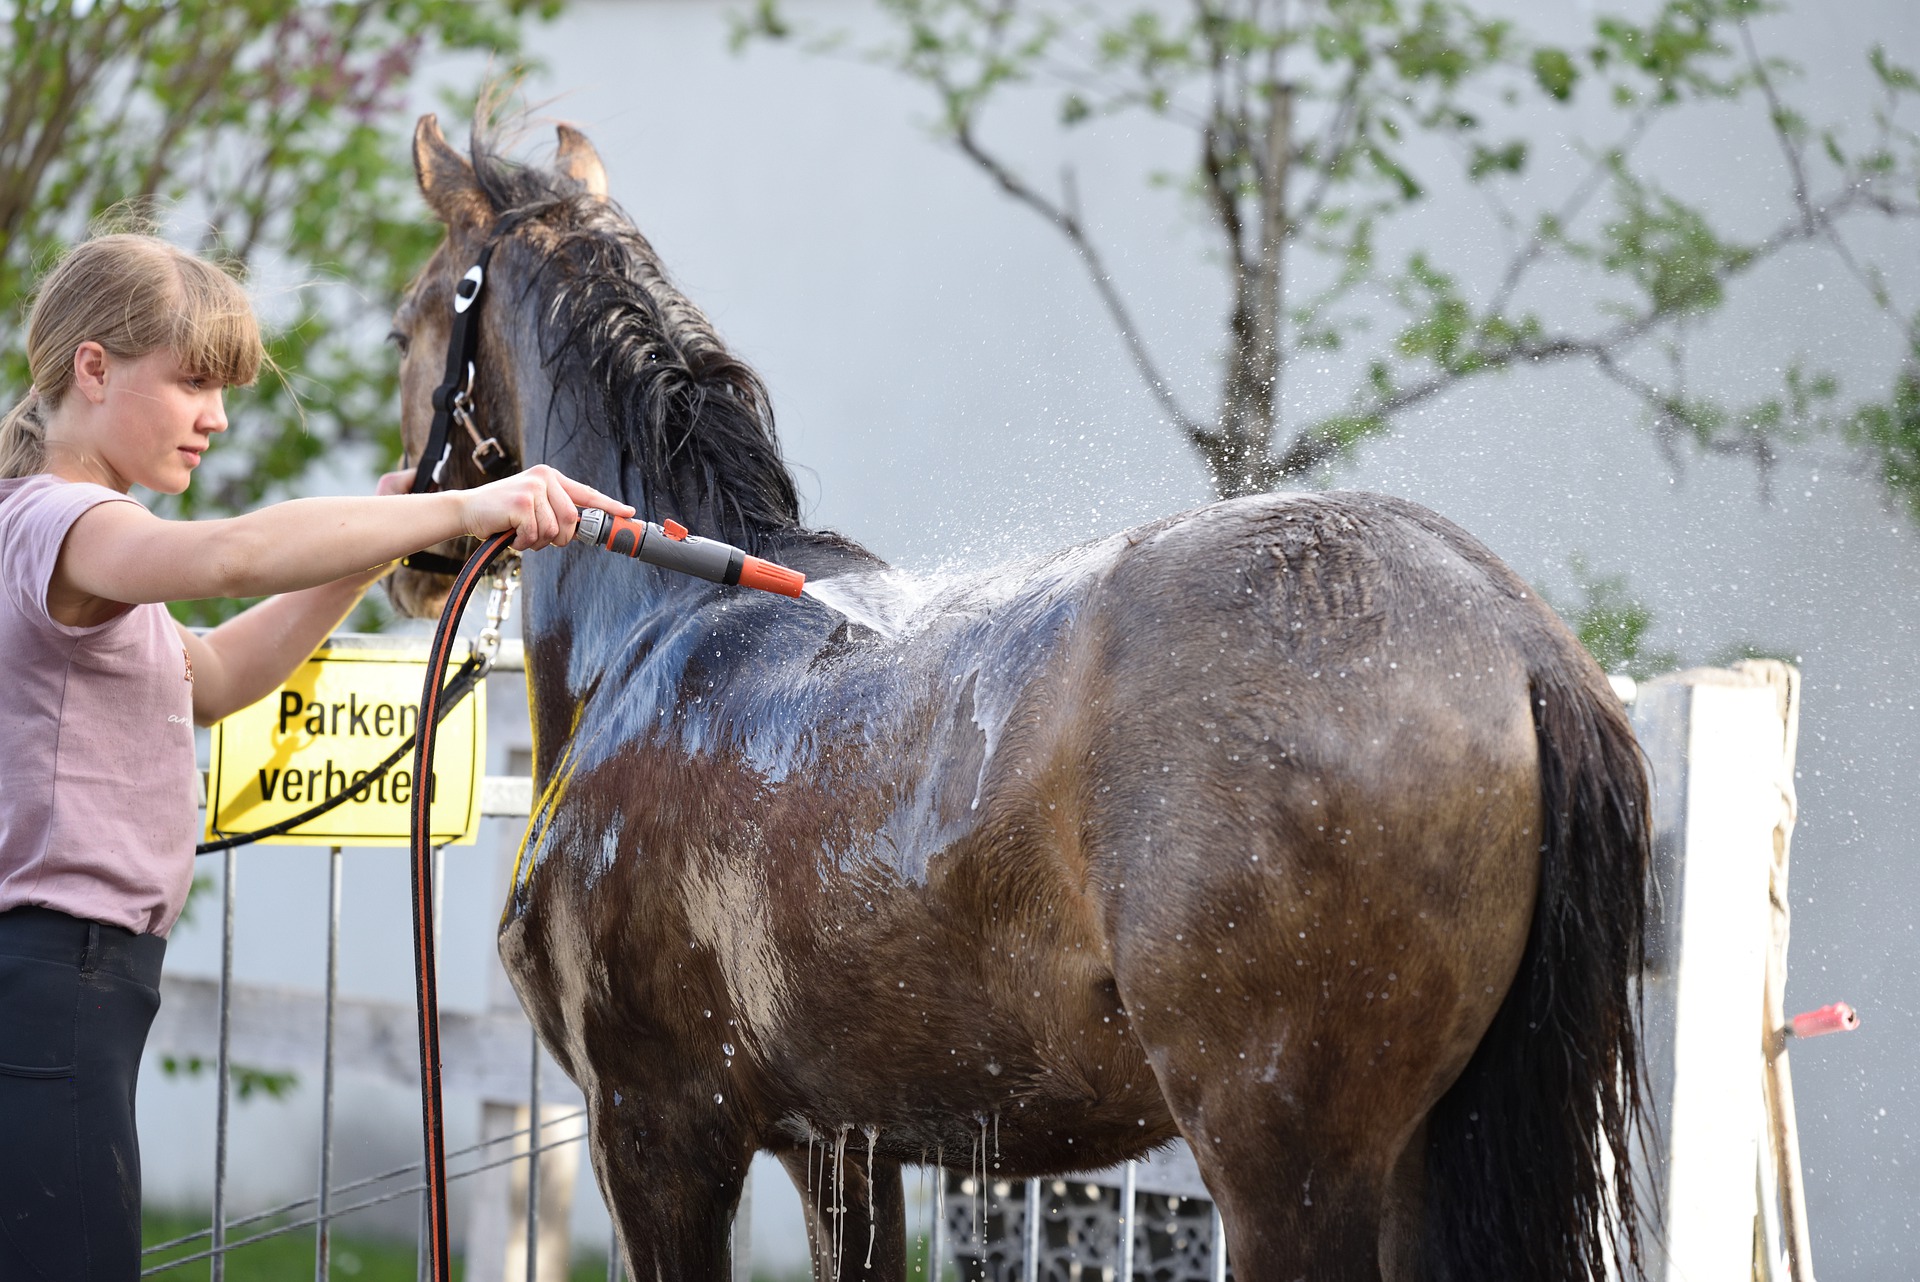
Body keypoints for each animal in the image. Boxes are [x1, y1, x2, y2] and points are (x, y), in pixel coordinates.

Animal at [385, 112, 1651, 1282]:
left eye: (405, 326)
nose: (412, 547)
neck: (668, 620)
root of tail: (1511, 630)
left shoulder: (655, 1137)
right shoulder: (840, 1148)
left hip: (1289, 1167)